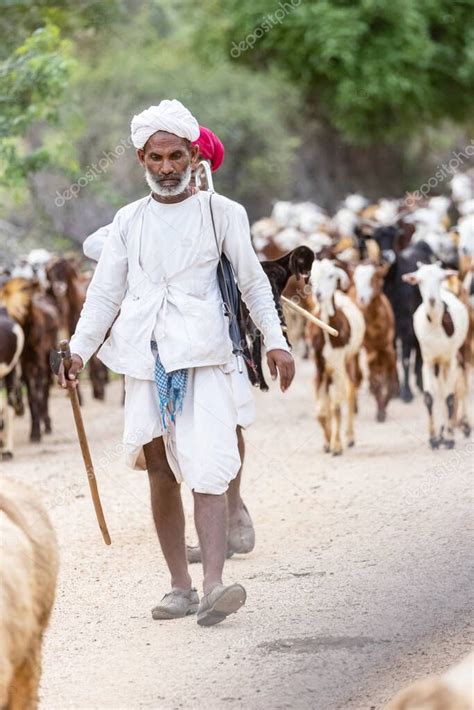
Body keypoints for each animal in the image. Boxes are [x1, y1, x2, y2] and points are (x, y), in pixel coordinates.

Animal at [306, 260, 364, 456]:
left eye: (332, 275)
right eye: (312, 276)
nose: (318, 295)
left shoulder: (338, 363)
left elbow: (337, 406)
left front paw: (337, 445)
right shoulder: (319, 366)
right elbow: (321, 411)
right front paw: (327, 440)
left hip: (352, 357)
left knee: (351, 388)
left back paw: (350, 437)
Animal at [402, 262, 468, 450]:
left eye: (440, 278)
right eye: (419, 280)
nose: (431, 299)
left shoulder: (450, 360)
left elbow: (450, 398)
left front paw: (449, 438)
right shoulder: (428, 360)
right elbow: (430, 397)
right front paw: (434, 438)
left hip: (460, 353)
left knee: (461, 385)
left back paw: (462, 427)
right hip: (438, 365)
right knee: (440, 390)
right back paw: (442, 431)